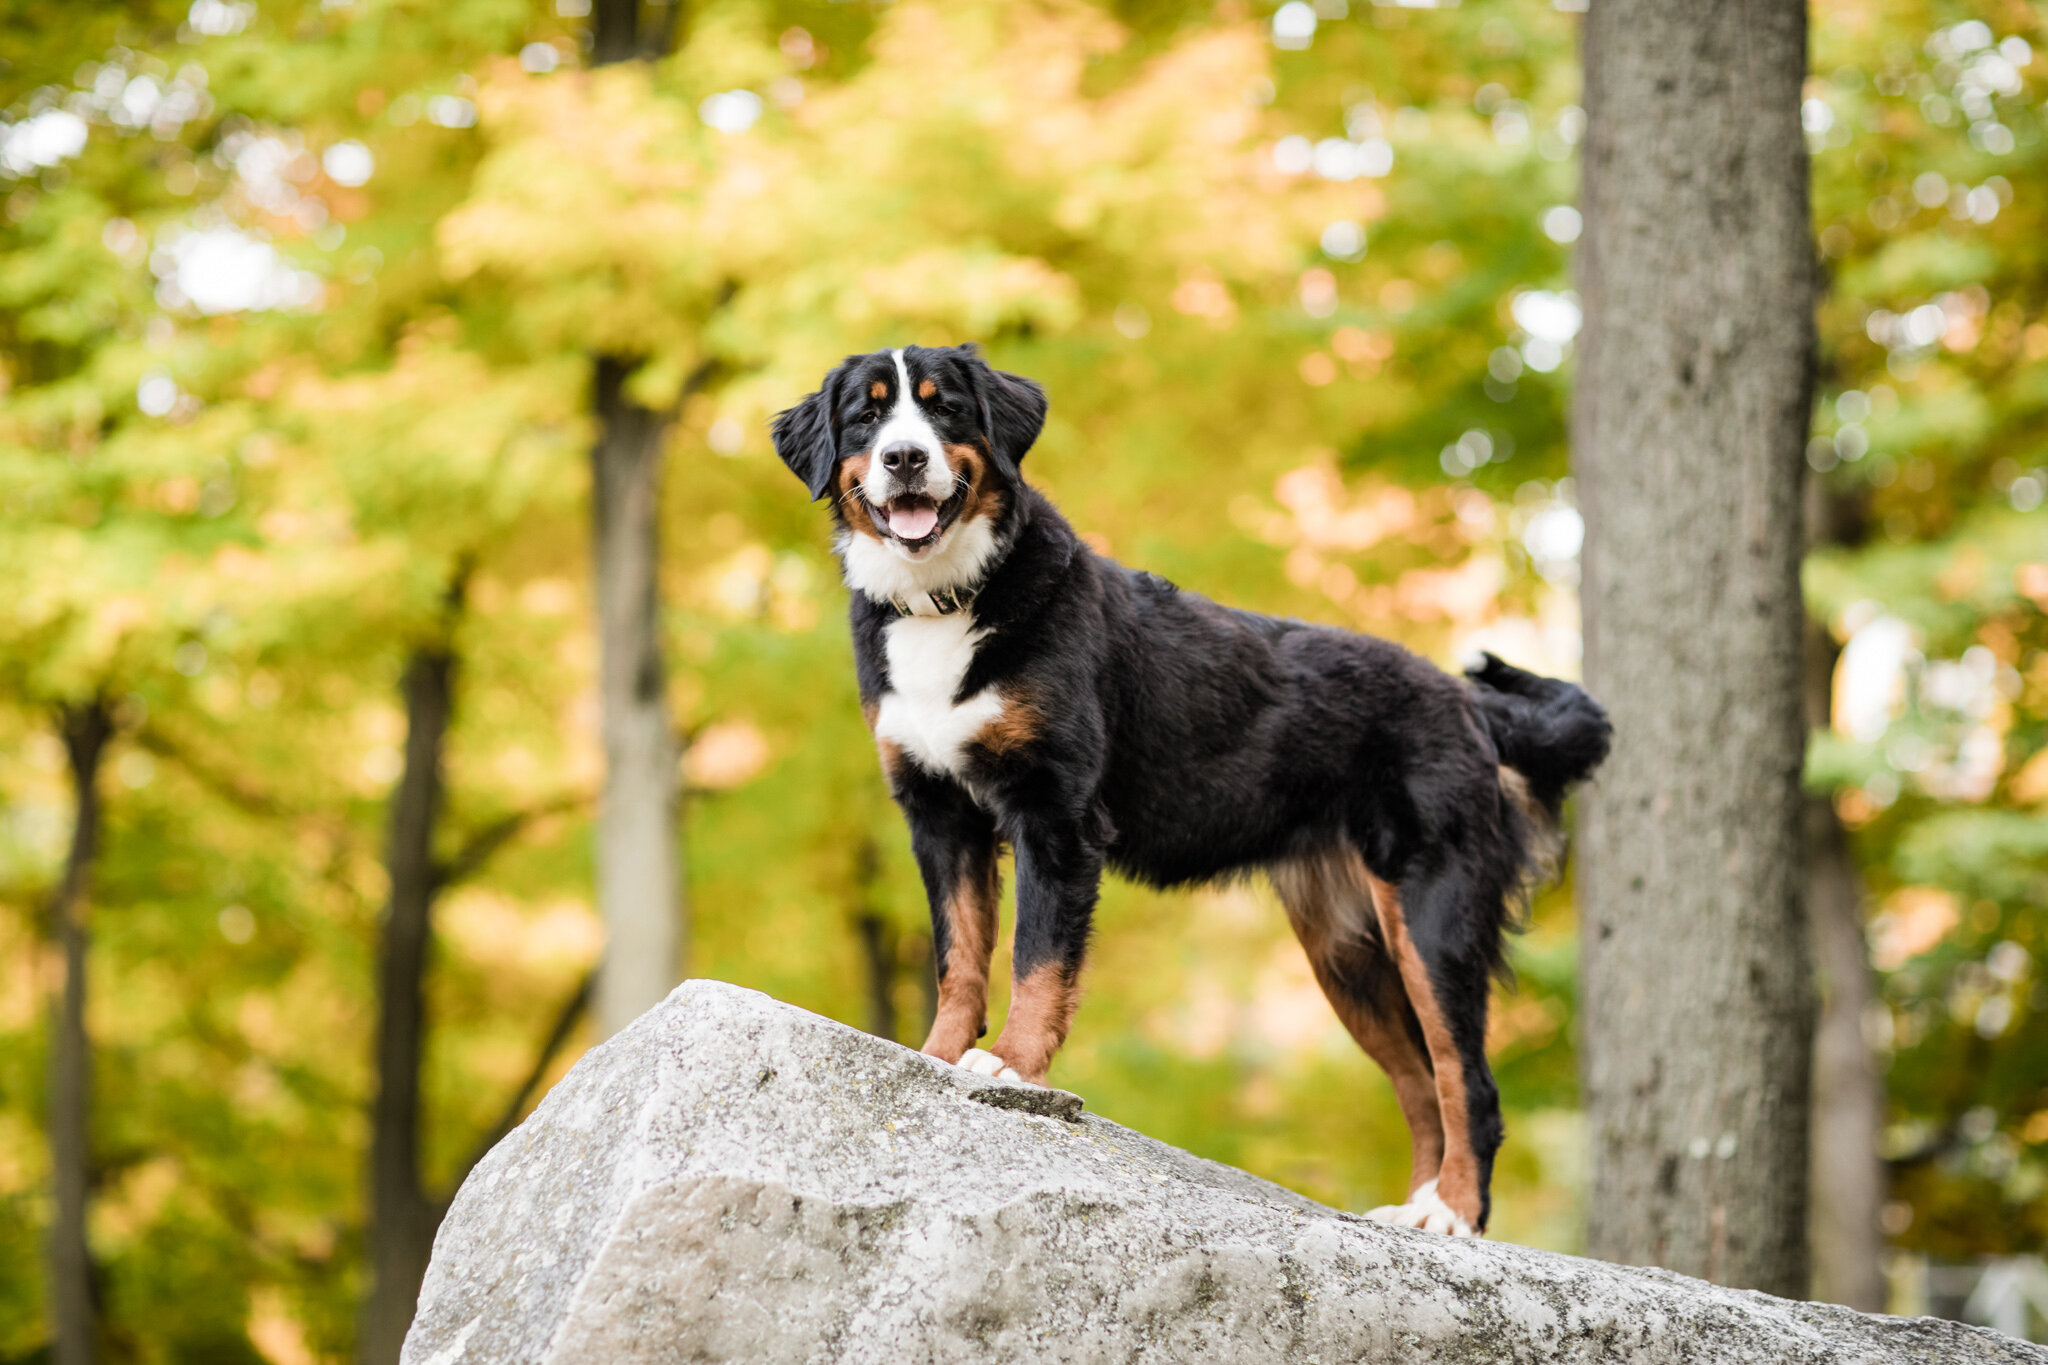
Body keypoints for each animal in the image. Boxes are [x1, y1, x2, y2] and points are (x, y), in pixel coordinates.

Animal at [770, 343, 1613, 1236]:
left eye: (945, 408)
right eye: (867, 414)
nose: (904, 458)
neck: (950, 603)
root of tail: (1469, 701)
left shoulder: (1055, 815)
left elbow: (1037, 961)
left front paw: (1009, 1067)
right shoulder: (939, 816)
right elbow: (958, 957)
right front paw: (933, 1058)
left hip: (1432, 912)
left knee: (1467, 1081)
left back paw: (1450, 1215)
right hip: (1347, 952)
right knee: (1420, 1082)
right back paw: (1411, 1212)